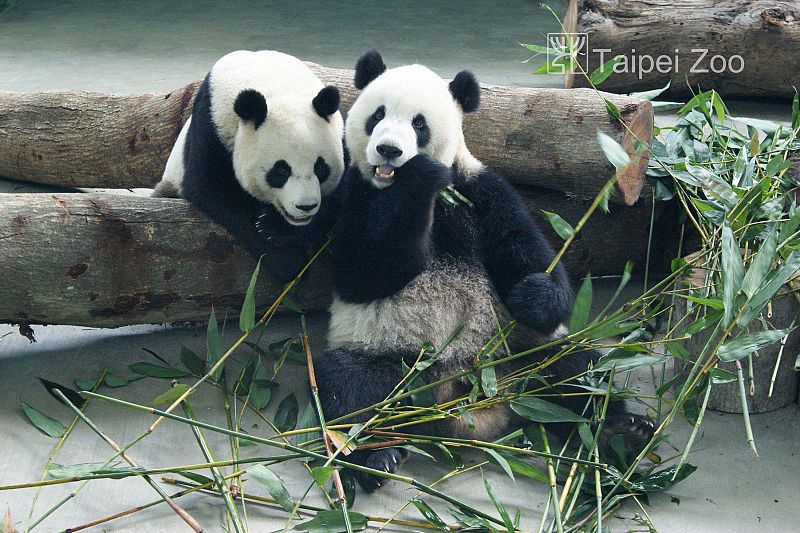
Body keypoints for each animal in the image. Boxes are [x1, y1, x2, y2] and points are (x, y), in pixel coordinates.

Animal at [155, 50, 346, 282]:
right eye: (281, 170)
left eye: (320, 168)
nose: (305, 206)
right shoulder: (211, 125)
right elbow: (214, 190)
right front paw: (287, 260)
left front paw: (279, 228)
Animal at [312, 51, 656, 490]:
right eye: (378, 115)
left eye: (418, 123)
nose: (389, 150)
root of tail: (459, 394)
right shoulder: (353, 192)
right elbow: (363, 271)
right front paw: (415, 182)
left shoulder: (478, 188)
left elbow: (523, 247)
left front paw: (534, 295)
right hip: (390, 355)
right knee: (350, 389)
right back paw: (376, 456)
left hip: (519, 349)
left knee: (575, 370)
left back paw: (620, 429)